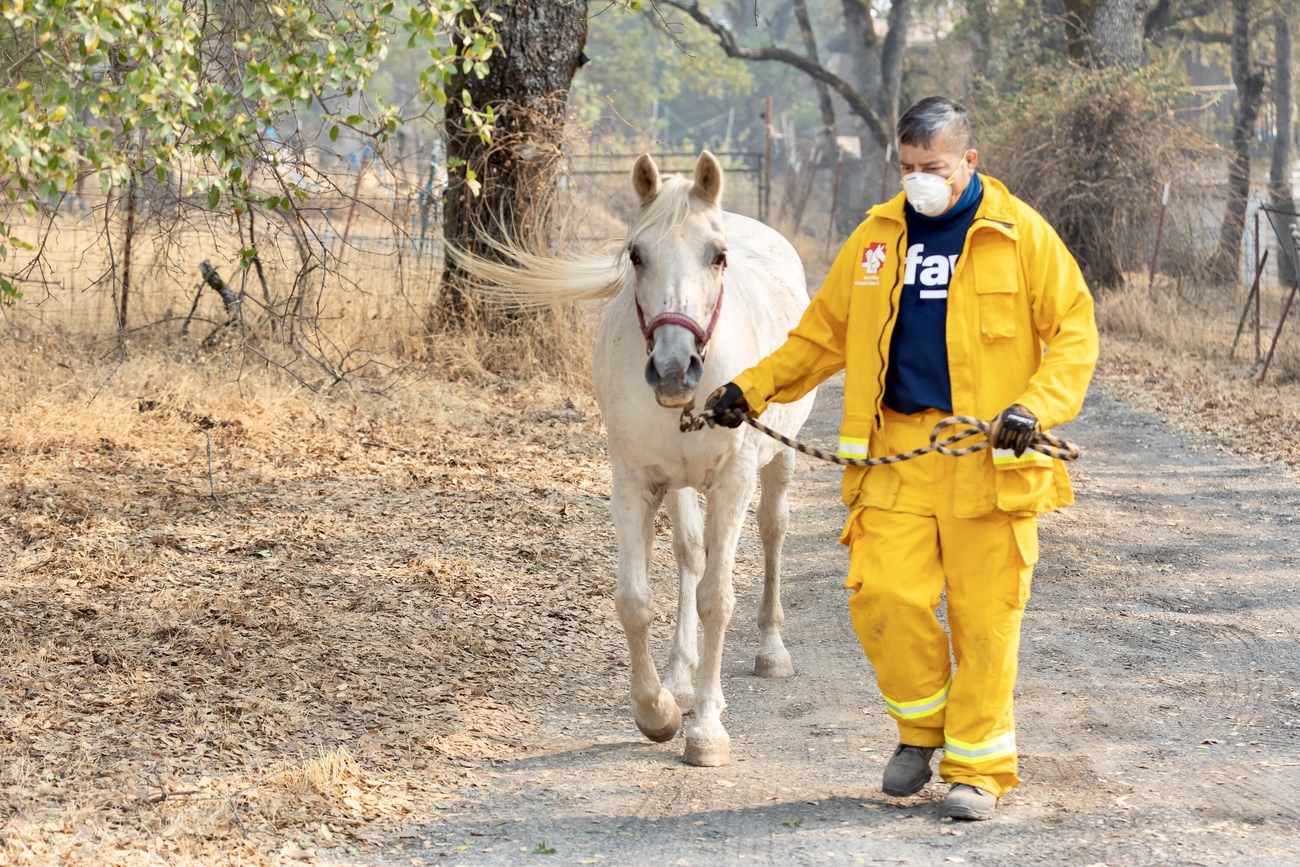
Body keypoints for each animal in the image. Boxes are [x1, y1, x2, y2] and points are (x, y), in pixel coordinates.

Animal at [457, 154, 811, 764]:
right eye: (637, 254)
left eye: (717, 256)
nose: (673, 369)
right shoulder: (634, 483)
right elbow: (636, 601)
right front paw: (659, 710)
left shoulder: (733, 482)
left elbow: (717, 598)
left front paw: (707, 730)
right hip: (681, 484)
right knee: (690, 554)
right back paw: (680, 680)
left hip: (777, 464)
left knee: (772, 532)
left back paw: (771, 650)